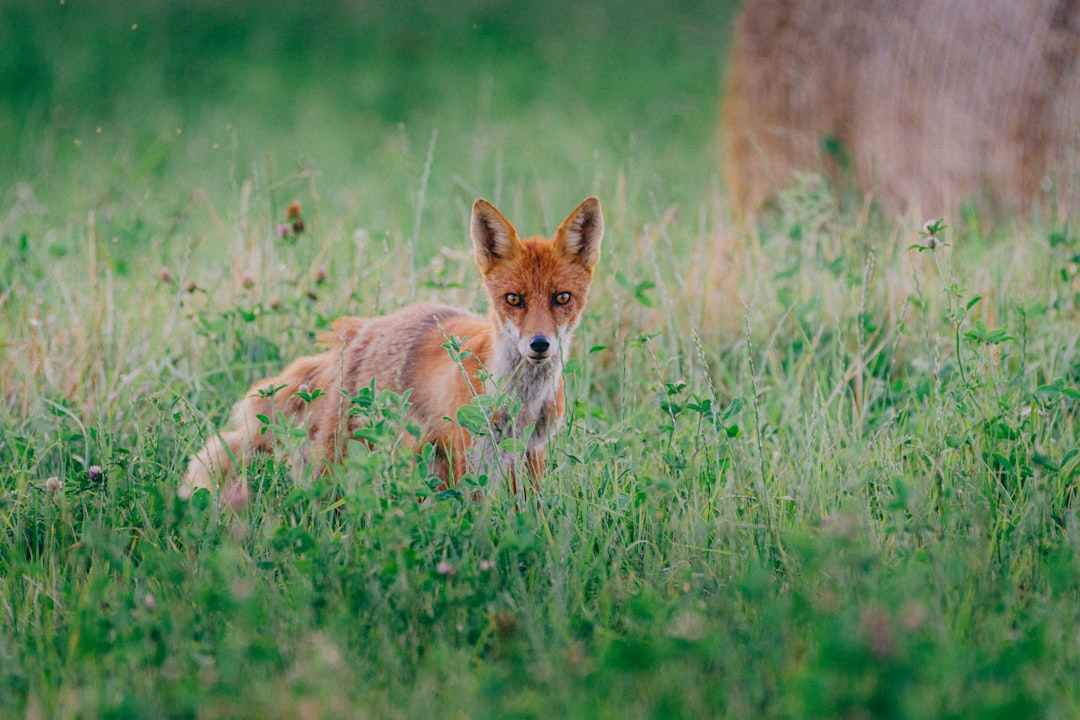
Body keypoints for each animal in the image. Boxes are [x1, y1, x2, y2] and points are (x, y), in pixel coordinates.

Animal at [181, 194, 604, 505]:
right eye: (514, 299)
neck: (520, 401)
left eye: (562, 298)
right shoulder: (472, 457)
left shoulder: (531, 452)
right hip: (339, 458)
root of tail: (356, 331)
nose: (539, 344)